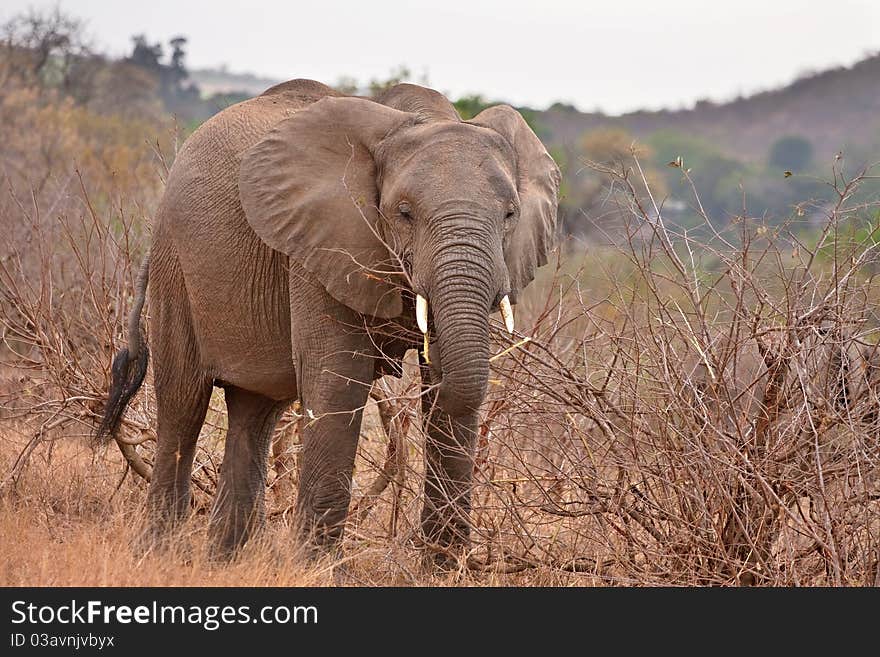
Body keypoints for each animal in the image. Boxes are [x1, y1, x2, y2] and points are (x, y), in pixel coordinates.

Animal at [96, 78, 560, 564]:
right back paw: (157, 554)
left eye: (510, 214)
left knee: (254, 413)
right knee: (184, 405)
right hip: (176, 266)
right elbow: (337, 382)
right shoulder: (318, 245)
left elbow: (448, 388)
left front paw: (442, 568)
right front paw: (313, 569)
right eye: (404, 213)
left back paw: (225, 562)